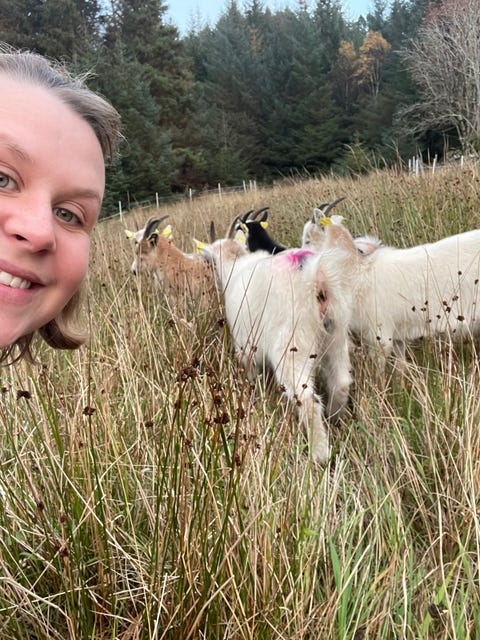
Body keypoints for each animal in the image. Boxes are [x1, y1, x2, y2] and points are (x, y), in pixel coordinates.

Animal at [202, 231, 354, 463]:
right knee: (342, 382)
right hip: (336, 334)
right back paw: (335, 418)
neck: (235, 265)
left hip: (292, 345)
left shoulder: (246, 348)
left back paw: (320, 454)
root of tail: (317, 276)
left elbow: (250, 376)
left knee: (307, 400)